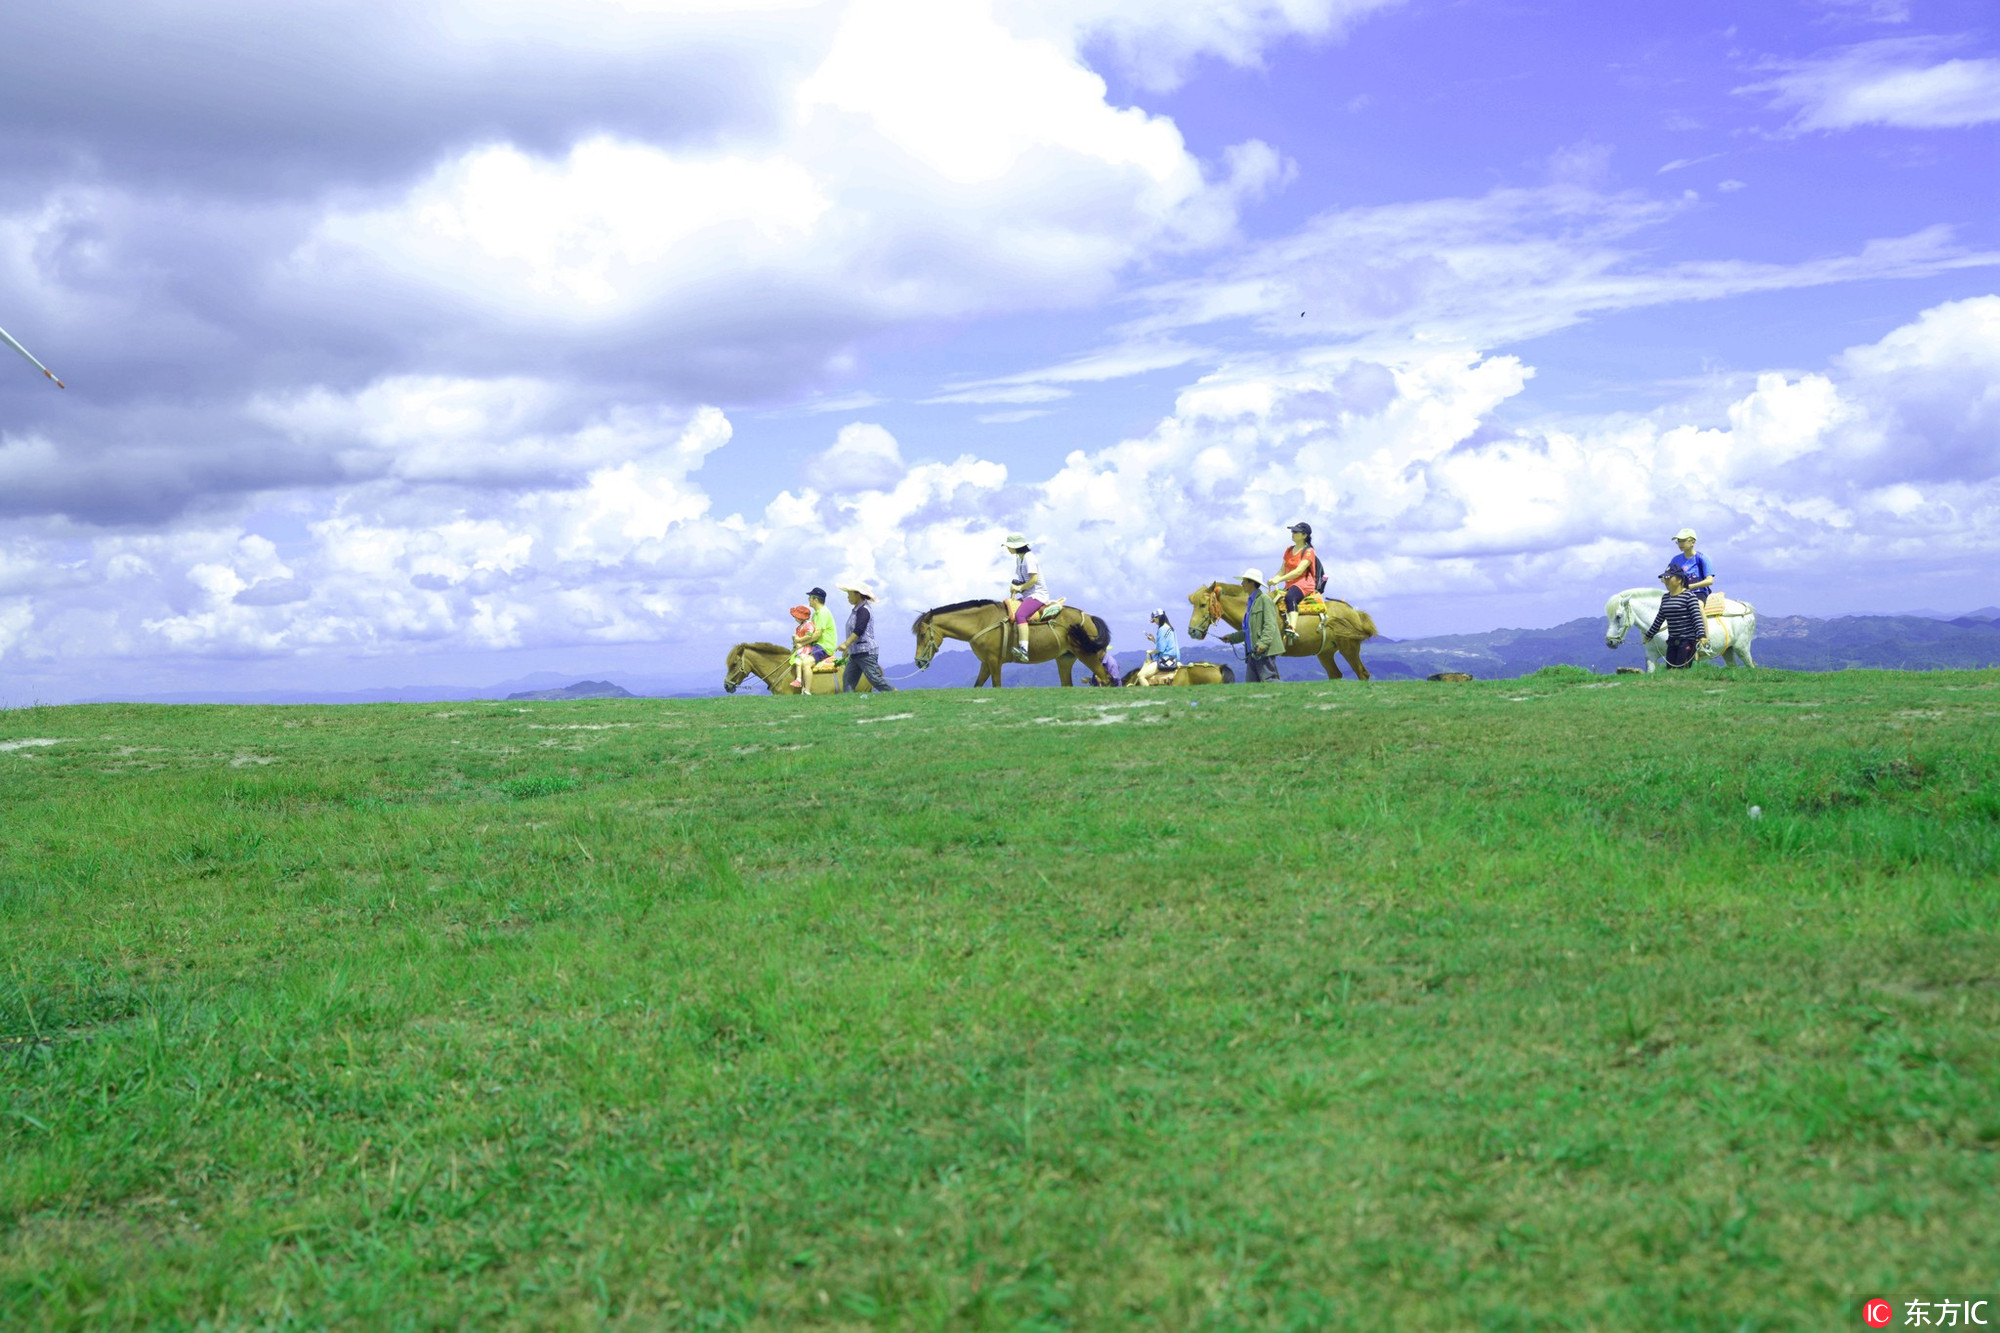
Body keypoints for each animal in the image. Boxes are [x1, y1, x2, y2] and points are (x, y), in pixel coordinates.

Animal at [916, 600, 1120, 684]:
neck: (983, 622)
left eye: (923, 634)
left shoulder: (994, 662)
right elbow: (978, 685)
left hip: (1088, 656)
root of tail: (1089, 616)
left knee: (1106, 679)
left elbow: (996, 685)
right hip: (1065, 659)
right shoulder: (985, 663)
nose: (918, 661)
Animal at [1184, 580, 1376, 680]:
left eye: (1203, 604)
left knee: (1363, 673)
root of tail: (1354, 612)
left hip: (1349, 648)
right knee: (1335, 674)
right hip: (1325, 653)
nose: (1192, 631)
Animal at [1600, 588, 1760, 668]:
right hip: (1728, 650)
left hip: (1742, 648)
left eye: (1618, 616)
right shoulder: (1651, 655)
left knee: (1751, 666)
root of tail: (1746, 608)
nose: (1610, 642)